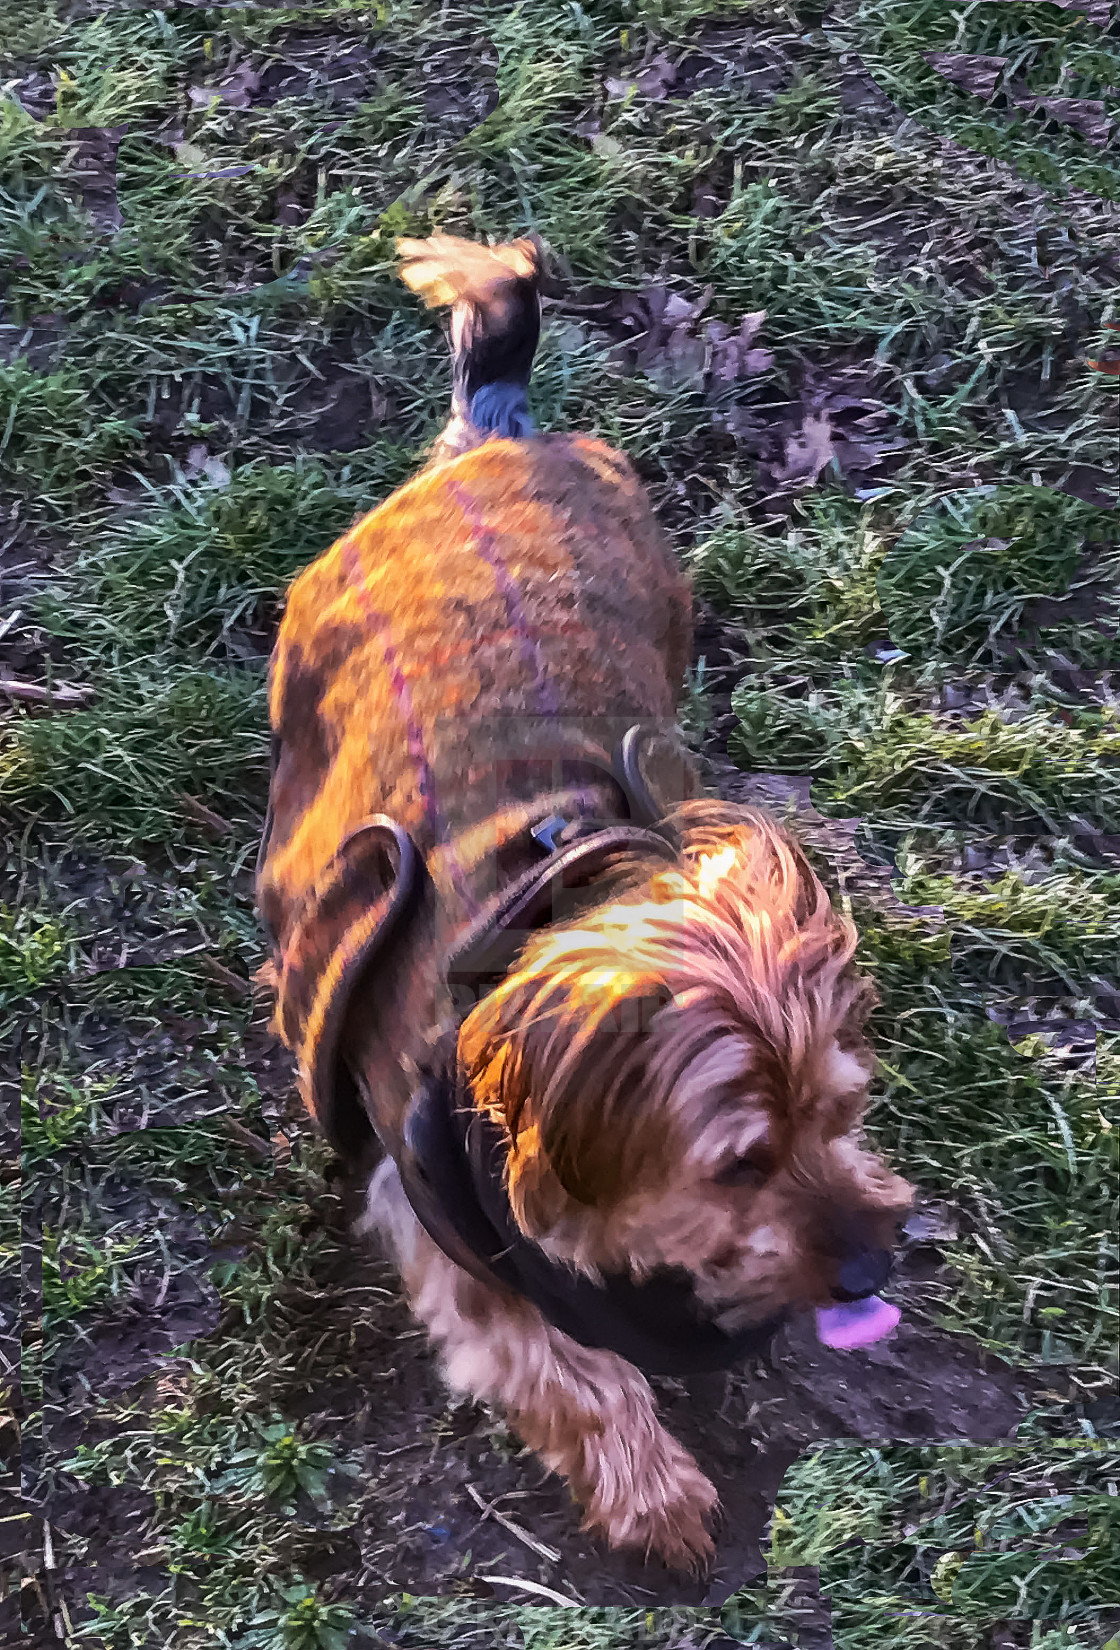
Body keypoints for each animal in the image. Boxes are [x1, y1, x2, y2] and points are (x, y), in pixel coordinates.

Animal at [258, 232, 917, 1570]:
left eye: (844, 1114)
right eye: (739, 1164)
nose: (876, 1267)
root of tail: (496, 434)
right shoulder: (445, 1241)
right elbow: (568, 1369)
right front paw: (656, 1496)